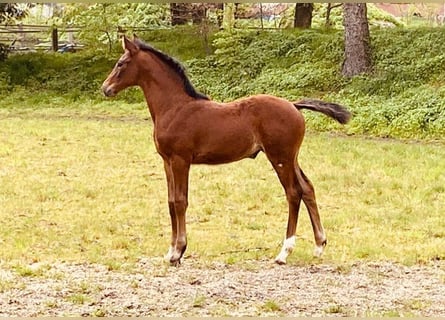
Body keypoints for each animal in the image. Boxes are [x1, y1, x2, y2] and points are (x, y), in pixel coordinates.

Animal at [101, 35, 350, 264]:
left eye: (121, 63)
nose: (105, 88)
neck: (175, 107)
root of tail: (294, 105)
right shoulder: (167, 161)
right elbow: (171, 202)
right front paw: (170, 252)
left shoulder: (181, 160)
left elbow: (181, 201)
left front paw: (179, 251)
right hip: (291, 157)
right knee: (307, 188)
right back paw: (319, 246)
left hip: (279, 157)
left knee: (293, 193)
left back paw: (284, 253)